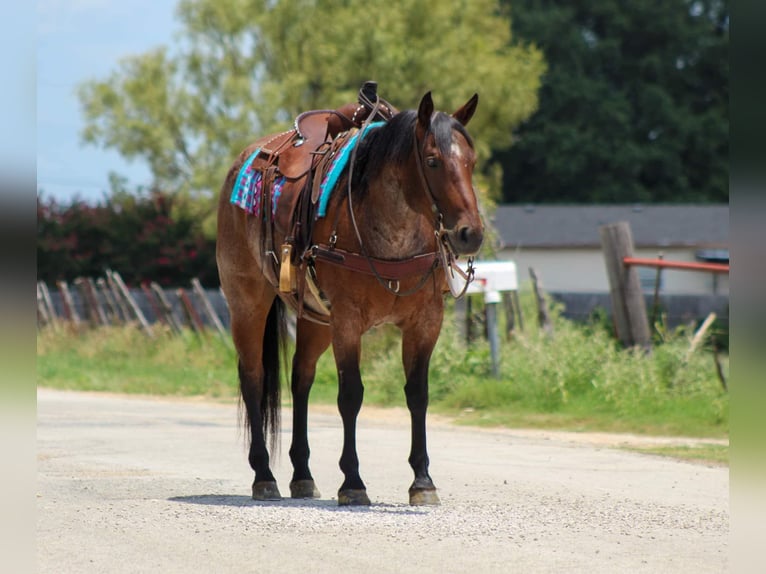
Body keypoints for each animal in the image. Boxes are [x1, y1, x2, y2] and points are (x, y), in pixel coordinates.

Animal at [216, 89, 483, 506]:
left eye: (471, 161)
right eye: (432, 161)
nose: (471, 234)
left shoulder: (426, 322)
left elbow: (418, 395)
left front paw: (422, 481)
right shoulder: (347, 320)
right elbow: (351, 395)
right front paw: (353, 481)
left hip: (315, 319)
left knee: (301, 378)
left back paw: (302, 475)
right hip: (248, 303)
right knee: (253, 378)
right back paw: (264, 476)